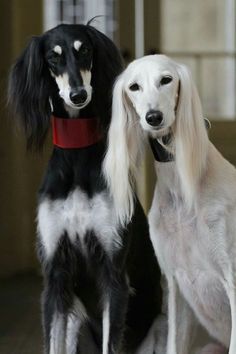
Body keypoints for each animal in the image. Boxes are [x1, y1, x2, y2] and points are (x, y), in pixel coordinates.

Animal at [8, 24, 162, 354]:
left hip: (159, 326)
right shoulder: (55, 274)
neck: (76, 157)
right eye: (53, 58)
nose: (78, 95)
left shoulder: (113, 273)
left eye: (85, 50)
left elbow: (111, 341)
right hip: (75, 317)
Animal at [103, 54, 236, 352]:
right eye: (134, 87)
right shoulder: (176, 283)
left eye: (166, 79)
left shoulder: (233, 279)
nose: (154, 117)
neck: (182, 191)